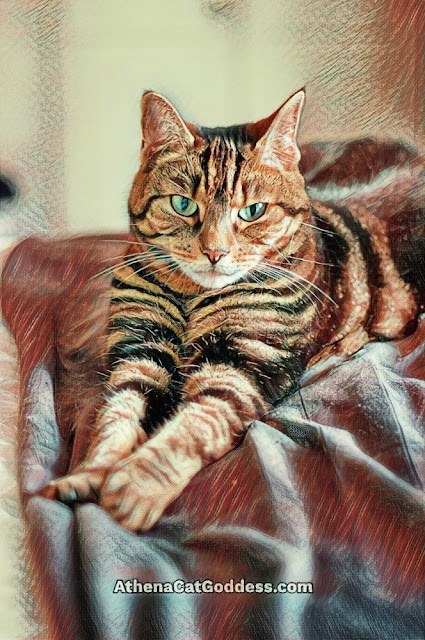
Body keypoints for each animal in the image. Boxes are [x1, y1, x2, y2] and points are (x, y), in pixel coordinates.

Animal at [42, 89, 414, 528]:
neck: (191, 298)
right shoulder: (140, 351)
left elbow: (193, 426)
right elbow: (115, 417)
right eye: (183, 204)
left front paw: (134, 485)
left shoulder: (242, 364)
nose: (215, 252)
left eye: (253, 211)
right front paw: (89, 474)